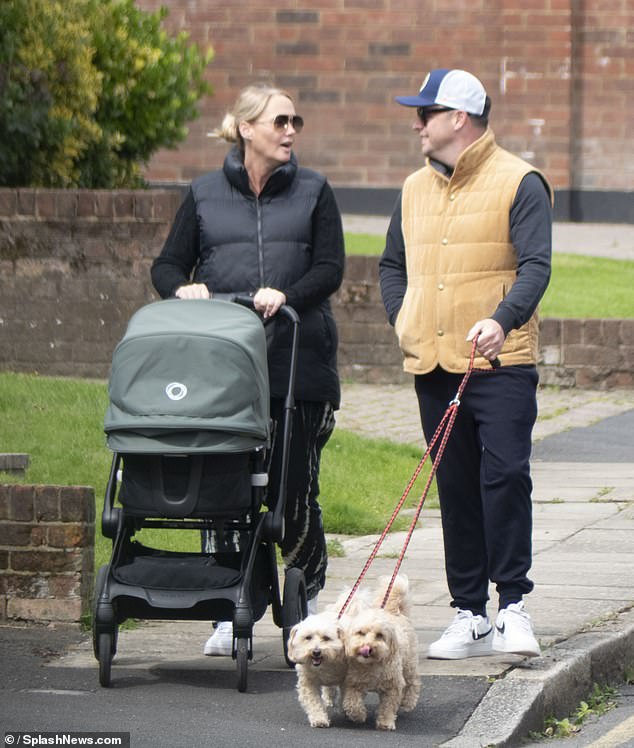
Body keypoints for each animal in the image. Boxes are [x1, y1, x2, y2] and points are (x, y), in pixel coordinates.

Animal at [340, 572, 420, 732]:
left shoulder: (393, 686)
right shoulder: (353, 683)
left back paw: (408, 701)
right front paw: (358, 715)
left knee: (413, 682)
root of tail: (396, 613)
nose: (368, 648)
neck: (371, 665)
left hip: (409, 663)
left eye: (380, 635)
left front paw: (385, 722)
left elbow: (388, 707)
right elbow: (351, 702)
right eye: (360, 633)